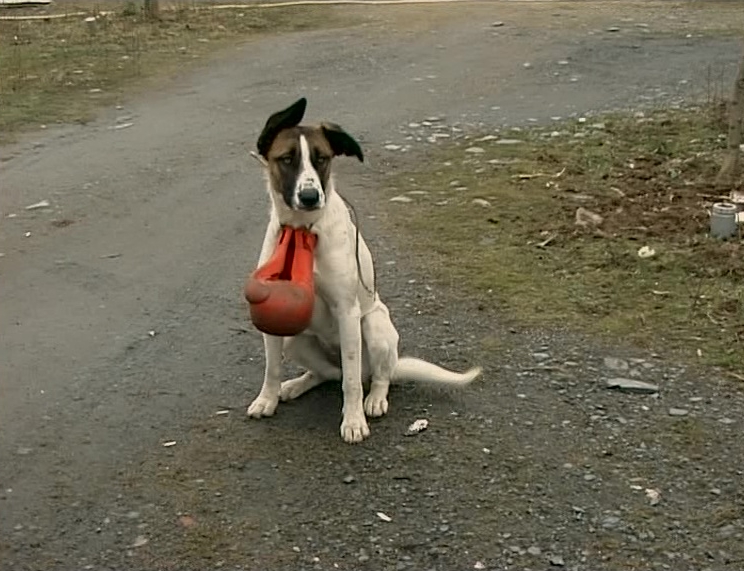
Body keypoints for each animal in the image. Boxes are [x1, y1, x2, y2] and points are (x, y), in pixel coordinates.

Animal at [247, 97, 482, 443]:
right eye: (287, 159)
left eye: (321, 159)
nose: (310, 197)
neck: (304, 230)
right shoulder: (275, 316)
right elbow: (271, 368)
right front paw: (267, 399)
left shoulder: (347, 311)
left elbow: (352, 383)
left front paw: (354, 421)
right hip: (296, 338)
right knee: (328, 374)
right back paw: (298, 384)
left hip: (373, 325)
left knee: (373, 376)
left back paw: (375, 399)